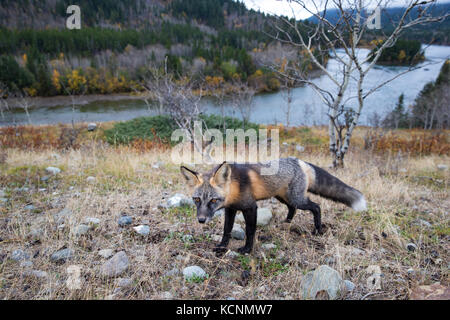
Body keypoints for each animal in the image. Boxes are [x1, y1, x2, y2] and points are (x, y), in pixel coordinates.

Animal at [181, 158, 368, 255]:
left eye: (213, 201)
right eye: (197, 199)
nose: (201, 220)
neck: (234, 187)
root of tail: (300, 161)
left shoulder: (250, 207)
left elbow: (250, 231)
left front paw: (247, 250)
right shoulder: (231, 209)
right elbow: (226, 230)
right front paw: (221, 247)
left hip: (297, 199)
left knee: (316, 206)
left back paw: (317, 229)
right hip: (283, 198)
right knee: (293, 209)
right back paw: (286, 223)